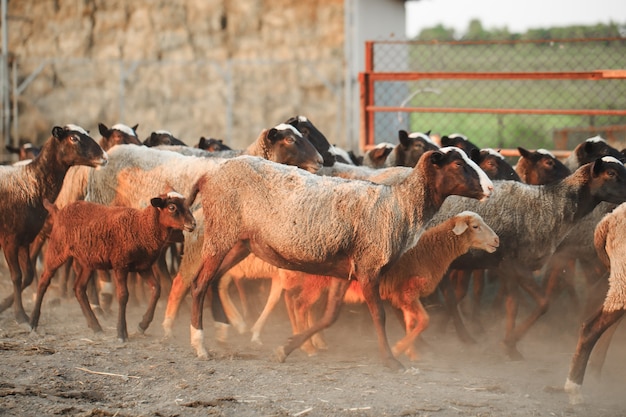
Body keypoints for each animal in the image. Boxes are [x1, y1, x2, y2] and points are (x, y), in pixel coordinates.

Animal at [0, 123, 107, 322]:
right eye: (73, 138)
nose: (104, 157)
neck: (30, 183)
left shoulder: (25, 239)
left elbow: (28, 275)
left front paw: (4, 305)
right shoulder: (10, 239)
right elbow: (17, 276)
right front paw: (20, 315)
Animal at [28, 192, 195, 342]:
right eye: (172, 207)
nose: (193, 224)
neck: (141, 226)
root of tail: (59, 211)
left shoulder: (143, 266)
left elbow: (157, 289)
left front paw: (142, 325)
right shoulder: (120, 265)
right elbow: (123, 295)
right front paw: (121, 333)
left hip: (88, 260)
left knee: (79, 289)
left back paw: (96, 327)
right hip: (57, 249)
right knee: (44, 281)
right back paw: (32, 322)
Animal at [185, 148, 492, 368]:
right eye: (458, 165)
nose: (489, 188)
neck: (400, 205)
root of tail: (209, 176)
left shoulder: (346, 271)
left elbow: (330, 317)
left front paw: (285, 349)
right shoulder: (369, 267)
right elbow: (379, 314)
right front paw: (391, 360)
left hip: (240, 242)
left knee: (211, 281)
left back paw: (222, 330)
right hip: (222, 232)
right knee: (200, 284)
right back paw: (200, 345)